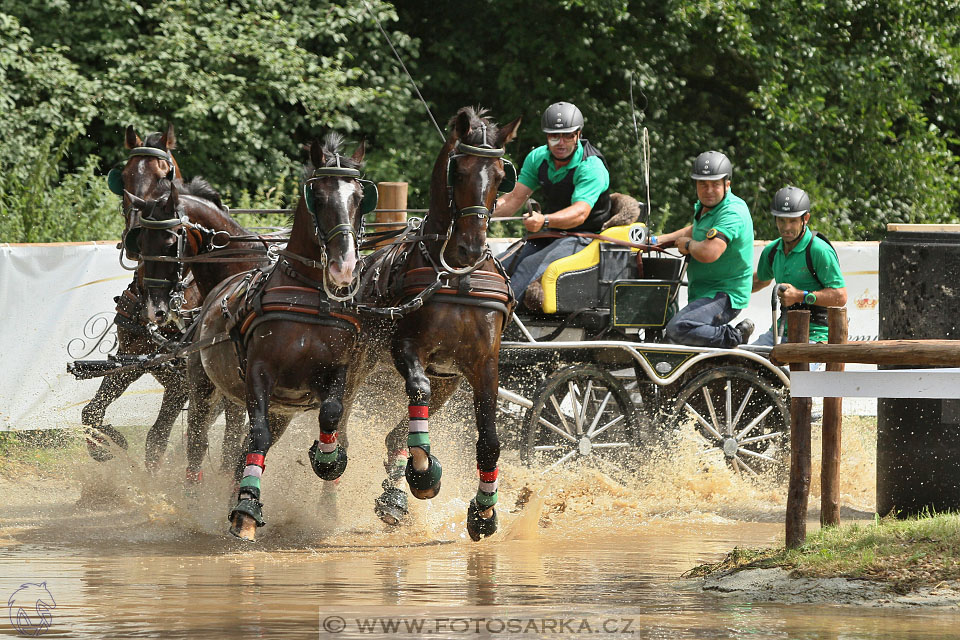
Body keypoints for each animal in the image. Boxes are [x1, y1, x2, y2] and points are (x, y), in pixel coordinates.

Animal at [80, 124, 225, 470]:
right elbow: (91, 412)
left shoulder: (182, 380)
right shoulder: (131, 359)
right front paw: (109, 443)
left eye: (164, 176)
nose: (137, 234)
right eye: (124, 177)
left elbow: (156, 441)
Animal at [154, 136, 372, 540]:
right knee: (198, 440)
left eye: (360, 196)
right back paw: (197, 501)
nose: (344, 267)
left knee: (239, 446)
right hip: (204, 385)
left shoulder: (335, 372)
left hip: (280, 409)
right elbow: (257, 437)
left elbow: (331, 415)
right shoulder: (259, 373)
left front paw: (328, 460)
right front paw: (246, 512)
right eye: (318, 196)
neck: (309, 296)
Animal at [348, 106, 520, 540]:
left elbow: (489, 440)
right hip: (362, 371)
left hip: (446, 383)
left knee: (394, 435)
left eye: (500, 175)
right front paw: (424, 476)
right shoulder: (407, 350)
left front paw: (484, 511)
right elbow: (418, 391)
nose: (472, 246)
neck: (455, 274)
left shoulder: (482, 364)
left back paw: (393, 499)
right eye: (458, 171)